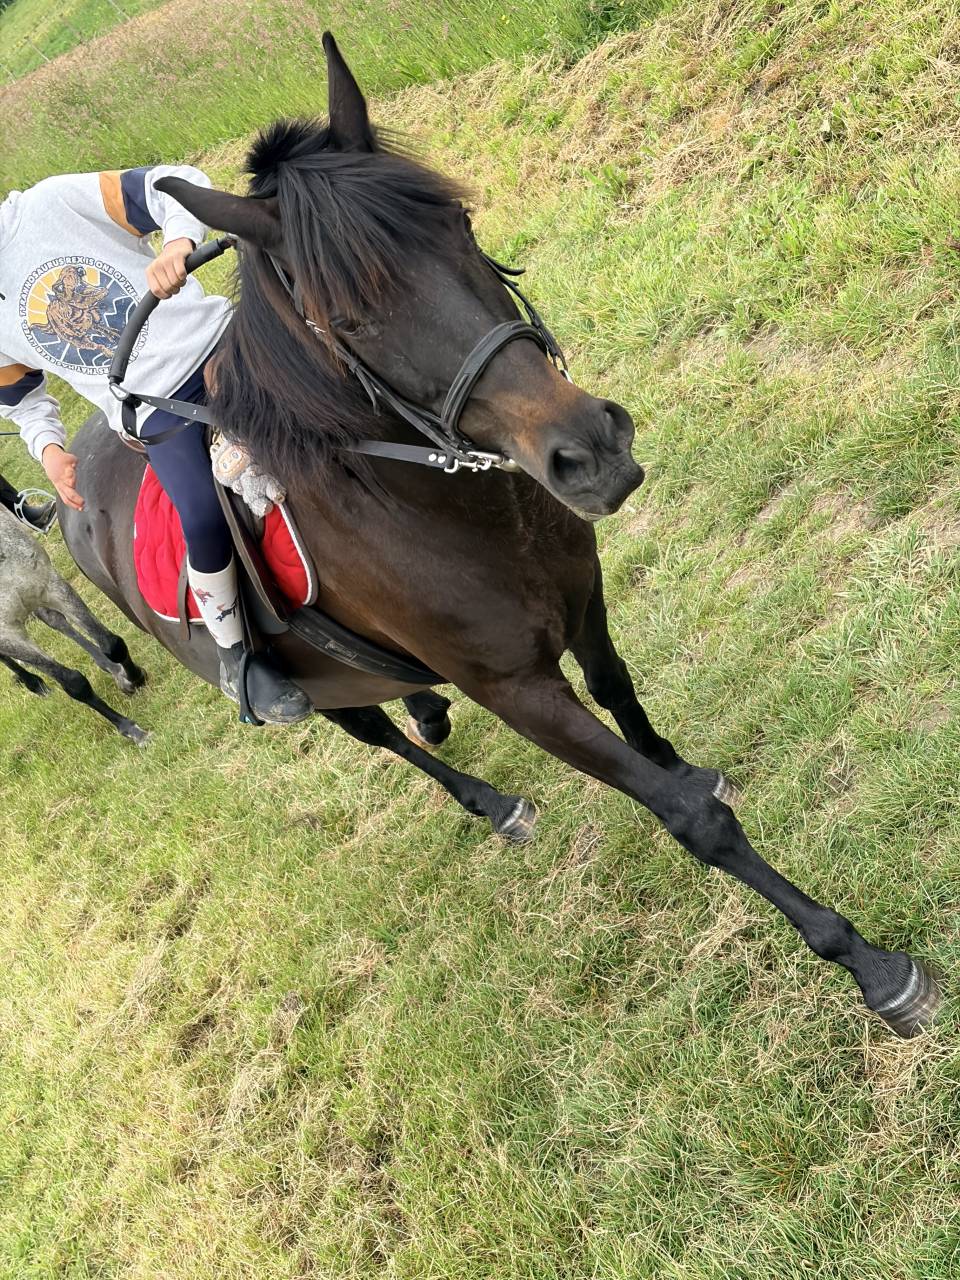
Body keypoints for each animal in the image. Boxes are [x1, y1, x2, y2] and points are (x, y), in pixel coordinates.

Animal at [60, 33, 938, 1037]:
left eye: (463, 226)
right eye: (351, 319)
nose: (592, 451)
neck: (439, 510)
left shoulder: (582, 598)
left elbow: (624, 697)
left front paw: (686, 761)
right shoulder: (514, 688)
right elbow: (688, 818)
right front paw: (872, 966)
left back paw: (431, 713)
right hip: (298, 686)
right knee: (372, 733)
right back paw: (489, 801)